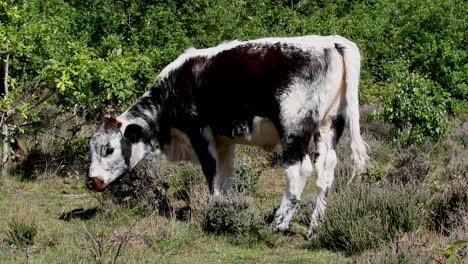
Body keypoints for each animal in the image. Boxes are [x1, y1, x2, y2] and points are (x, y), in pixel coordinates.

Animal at [86, 34, 368, 238]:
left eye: (109, 149)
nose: (91, 181)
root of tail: (331, 41)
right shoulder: (224, 141)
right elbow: (227, 175)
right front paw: (228, 208)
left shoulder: (200, 134)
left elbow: (212, 174)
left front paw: (212, 212)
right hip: (329, 126)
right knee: (326, 171)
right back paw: (314, 228)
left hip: (294, 129)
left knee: (299, 169)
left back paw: (278, 223)